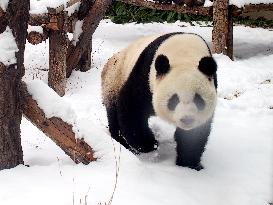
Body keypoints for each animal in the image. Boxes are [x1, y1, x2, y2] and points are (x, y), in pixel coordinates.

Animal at [100, 32, 217, 170]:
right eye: (174, 99)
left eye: (198, 99)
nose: (187, 119)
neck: (184, 56)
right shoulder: (144, 76)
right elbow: (131, 109)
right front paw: (150, 145)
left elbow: (195, 134)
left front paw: (189, 165)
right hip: (114, 79)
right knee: (113, 112)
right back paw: (121, 141)